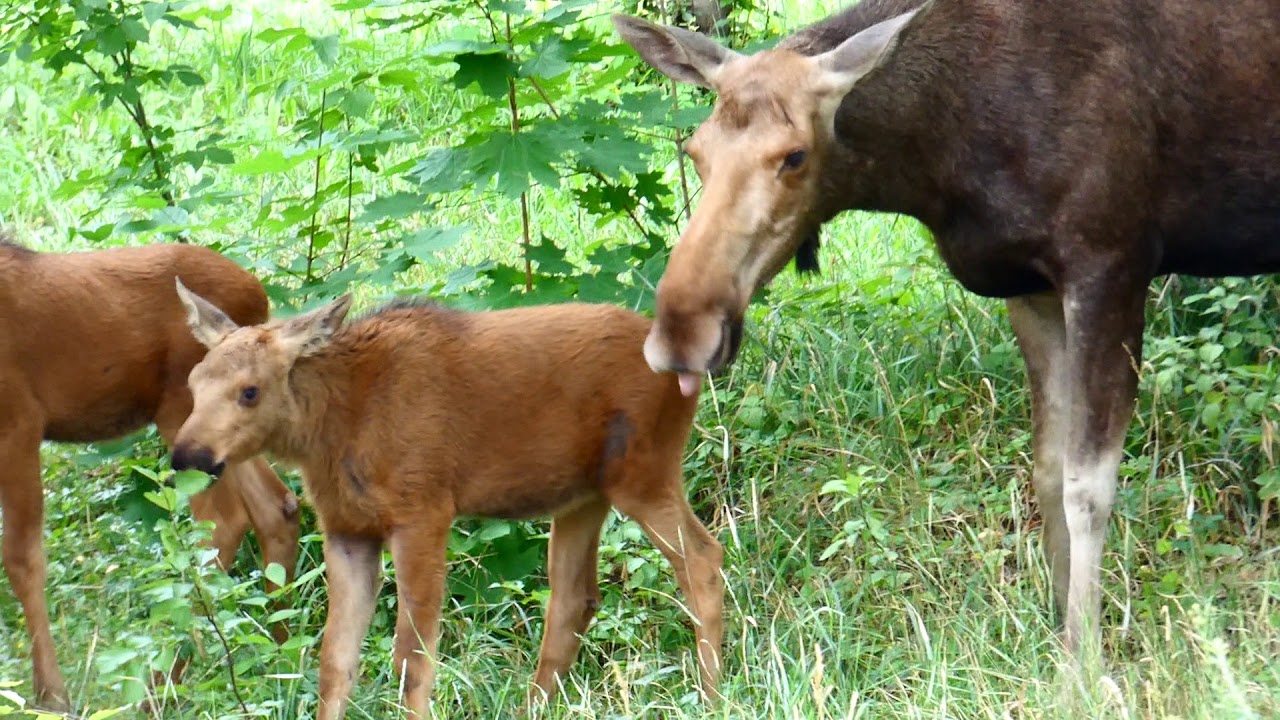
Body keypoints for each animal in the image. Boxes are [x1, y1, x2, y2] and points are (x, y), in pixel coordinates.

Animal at [0, 237, 300, 707]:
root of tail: (258, 295)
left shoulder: (19, 419)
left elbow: (20, 556)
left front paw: (52, 695)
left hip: (182, 408)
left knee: (222, 521)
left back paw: (167, 680)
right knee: (276, 504)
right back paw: (278, 653)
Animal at [171, 281, 727, 717]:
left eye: (250, 391)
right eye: (193, 383)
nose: (186, 455)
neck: (333, 428)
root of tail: (688, 375)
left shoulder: (423, 512)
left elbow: (411, 656)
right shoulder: (347, 529)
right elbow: (335, 659)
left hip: (644, 472)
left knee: (703, 558)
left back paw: (713, 695)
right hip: (581, 497)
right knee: (575, 598)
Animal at [609, 0, 1280, 661]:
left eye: (794, 155)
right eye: (696, 151)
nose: (681, 335)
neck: (940, 166)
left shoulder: (1111, 262)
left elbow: (1088, 486)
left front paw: (1084, 661)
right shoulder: (1031, 288)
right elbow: (1046, 473)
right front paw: (1056, 633)